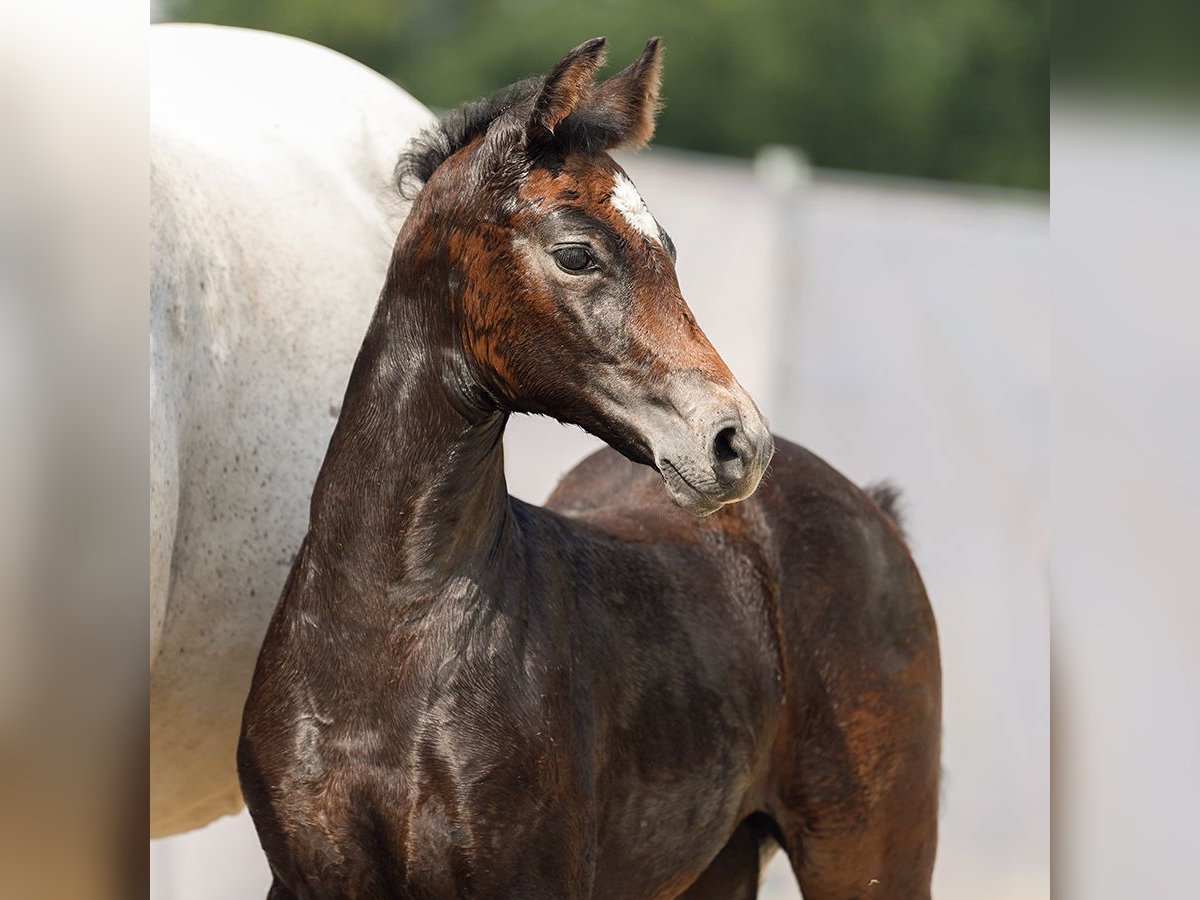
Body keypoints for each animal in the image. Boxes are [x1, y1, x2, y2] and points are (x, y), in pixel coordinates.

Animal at [241, 38, 936, 900]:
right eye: (578, 254)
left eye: (668, 251)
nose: (736, 442)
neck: (390, 628)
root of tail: (870, 510)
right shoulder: (302, 877)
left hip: (869, 853)